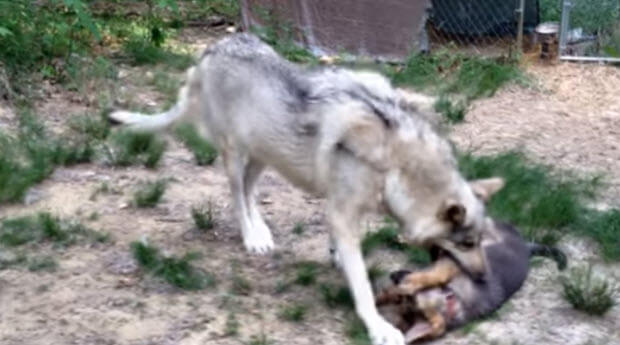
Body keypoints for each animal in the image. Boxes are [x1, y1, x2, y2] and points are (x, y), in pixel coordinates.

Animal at [110, 32, 504, 344]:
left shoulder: (343, 209)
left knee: (250, 190)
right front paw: (378, 327)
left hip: (266, 155)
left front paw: (335, 256)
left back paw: (262, 232)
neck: (397, 165)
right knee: (237, 196)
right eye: (466, 244)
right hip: (236, 155)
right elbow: (363, 286)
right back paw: (252, 238)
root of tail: (213, 48)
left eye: (479, 241)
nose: (485, 277)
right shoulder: (343, 212)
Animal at [376, 220, 564, 342]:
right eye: (399, 300)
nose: (394, 277)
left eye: (407, 299)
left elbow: (436, 274)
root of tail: (526, 245)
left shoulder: (450, 265)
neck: (453, 298)